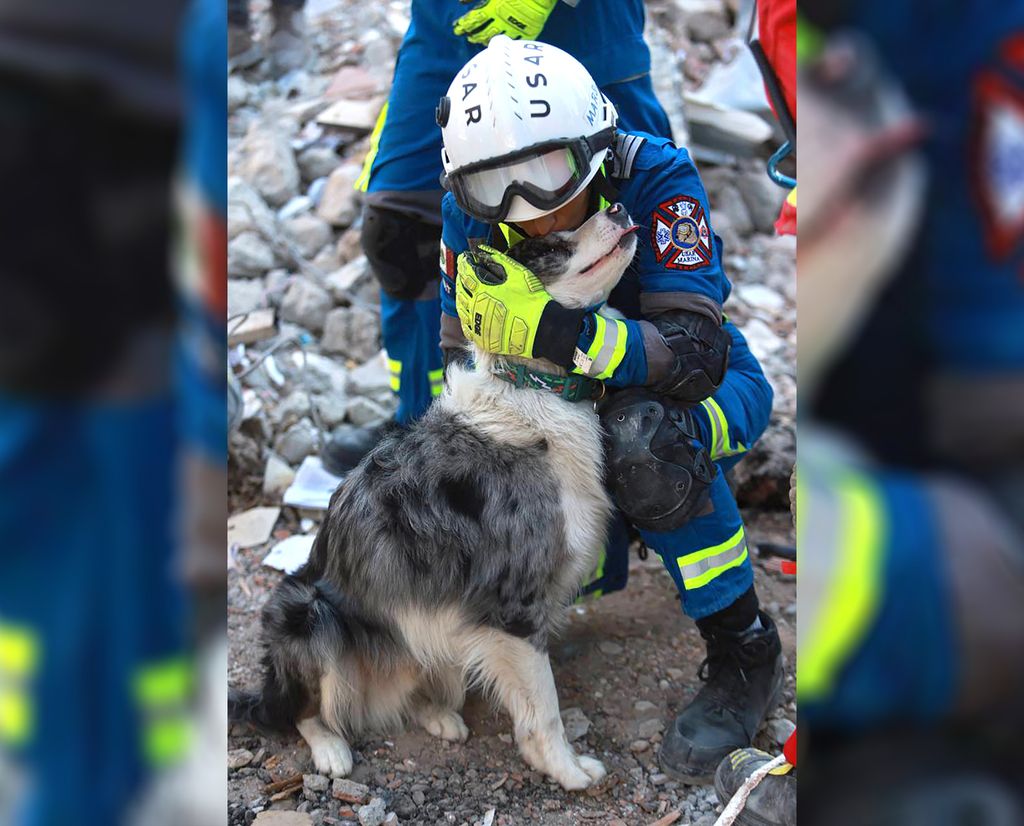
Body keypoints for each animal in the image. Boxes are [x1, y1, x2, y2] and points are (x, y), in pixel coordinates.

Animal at [230, 203, 638, 790]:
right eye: (551, 247)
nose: (619, 207)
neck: (530, 385)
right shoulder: (514, 609)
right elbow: (545, 708)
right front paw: (566, 769)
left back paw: (439, 715)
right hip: (309, 615)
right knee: (300, 712)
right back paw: (331, 749)